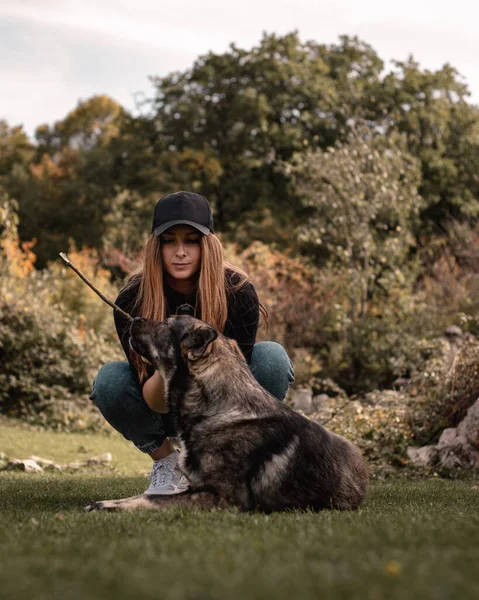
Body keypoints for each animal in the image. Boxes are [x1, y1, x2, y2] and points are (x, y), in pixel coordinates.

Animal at [86, 316, 370, 512]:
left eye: (166, 322)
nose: (133, 319)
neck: (218, 407)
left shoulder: (220, 498)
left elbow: (152, 499)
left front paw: (108, 506)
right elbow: (149, 495)